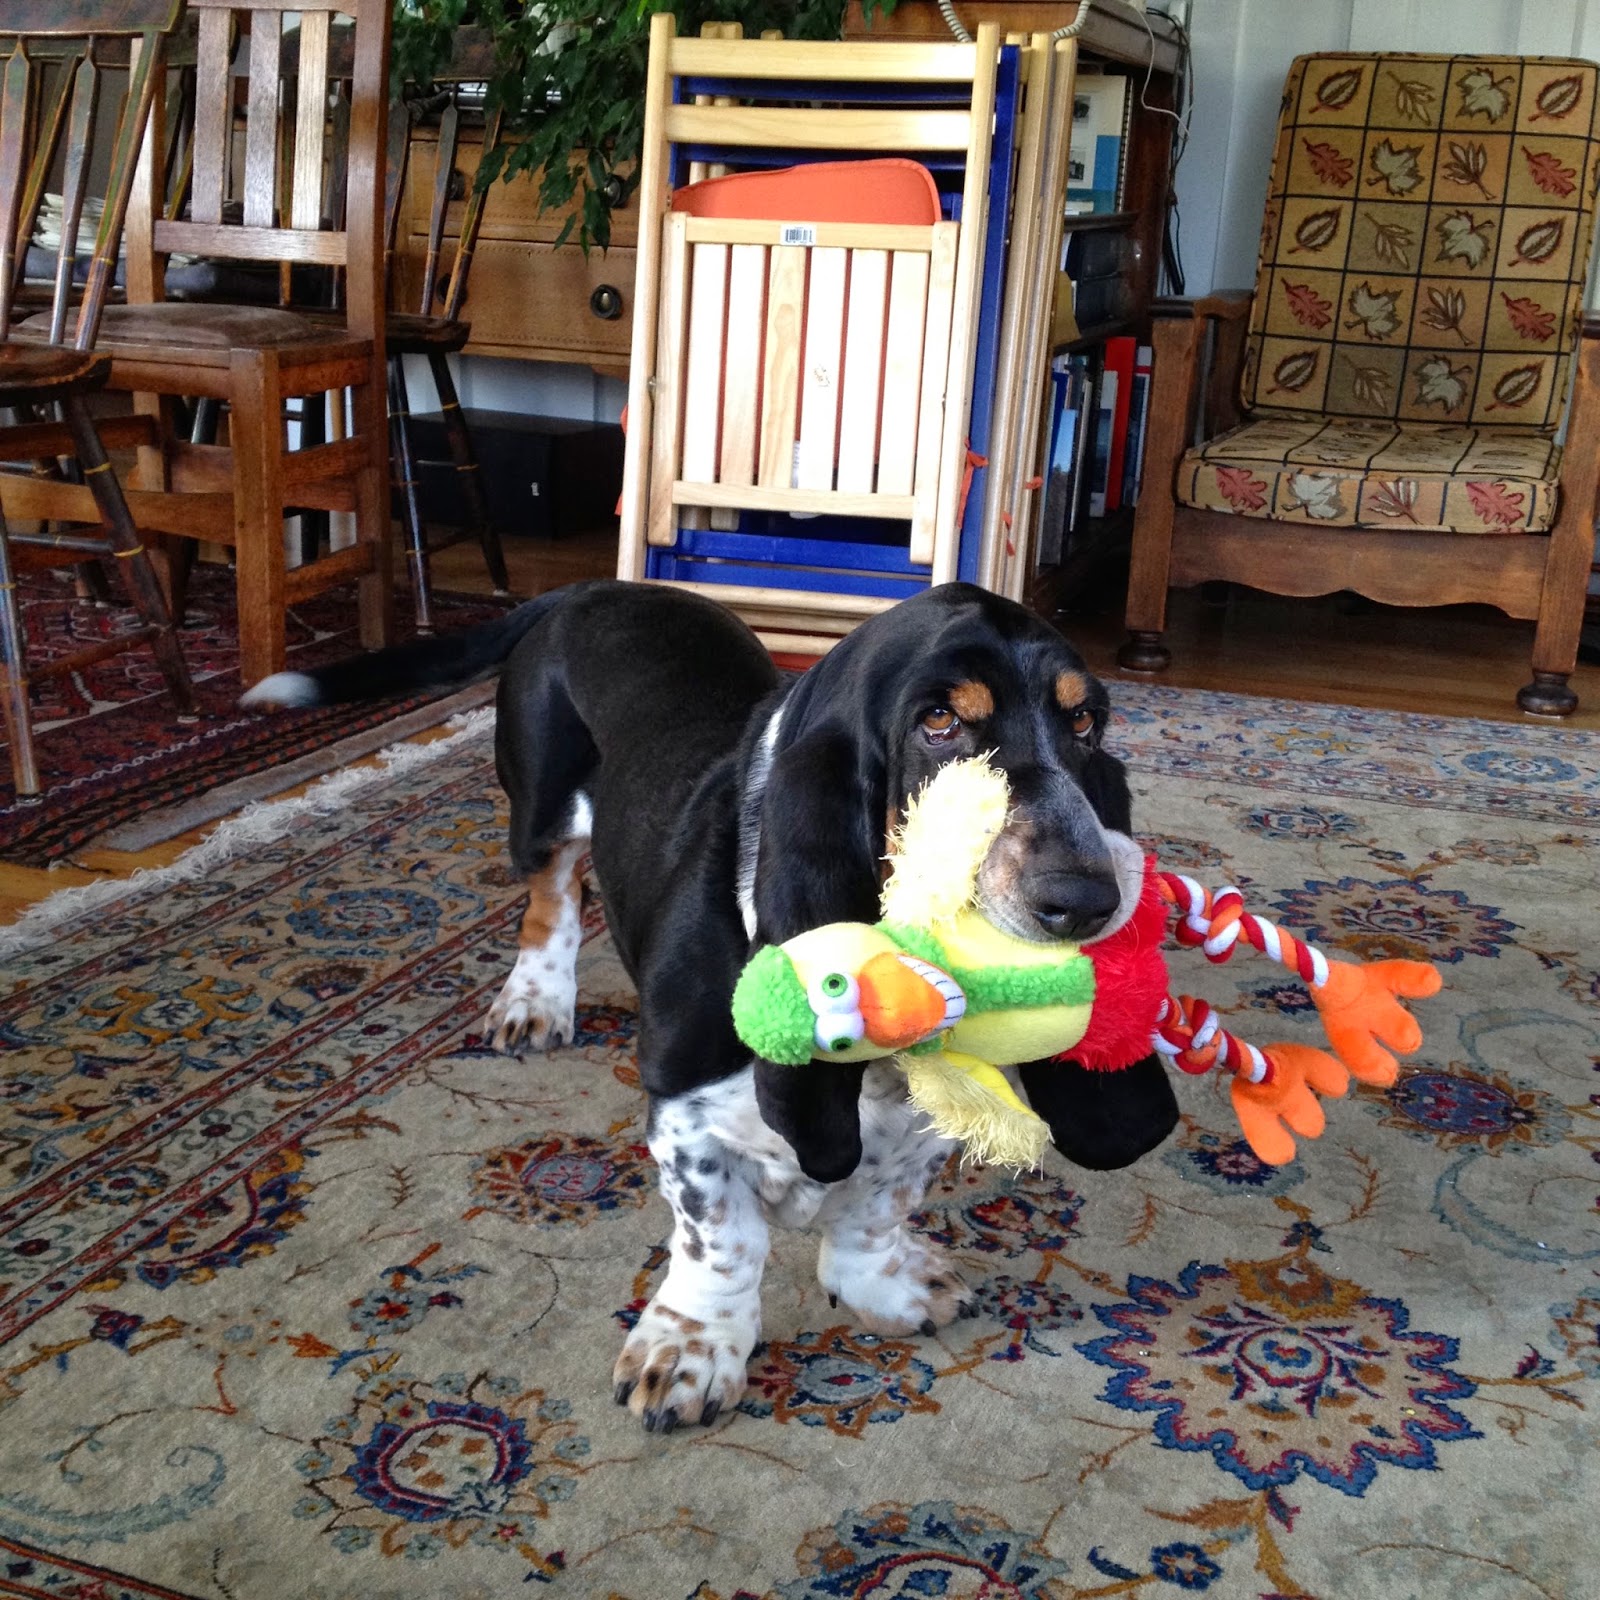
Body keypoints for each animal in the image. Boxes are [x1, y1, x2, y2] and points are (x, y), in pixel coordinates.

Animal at [244, 580, 1180, 1431]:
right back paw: (534, 1002)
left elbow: (876, 1205)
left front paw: (886, 1285)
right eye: (940, 724)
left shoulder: (918, 1128)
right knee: (551, 895)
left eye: (1086, 725)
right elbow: (723, 1241)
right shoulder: (684, 1112)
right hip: (540, 806)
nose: (1087, 898)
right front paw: (689, 1352)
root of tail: (593, 587)